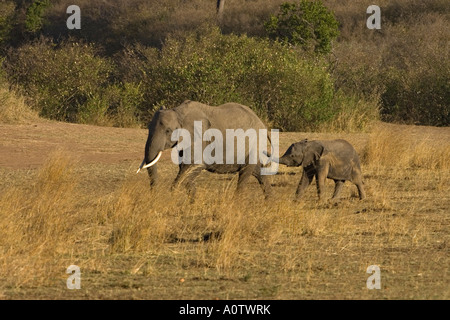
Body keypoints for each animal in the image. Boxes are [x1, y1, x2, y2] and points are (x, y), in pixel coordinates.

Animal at [135, 100, 272, 199]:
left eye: (168, 131)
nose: (154, 195)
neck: (179, 112)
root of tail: (262, 124)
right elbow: (187, 170)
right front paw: (192, 204)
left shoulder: (199, 139)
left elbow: (194, 166)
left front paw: (172, 197)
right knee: (258, 172)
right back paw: (268, 204)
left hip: (254, 144)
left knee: (245, 173)